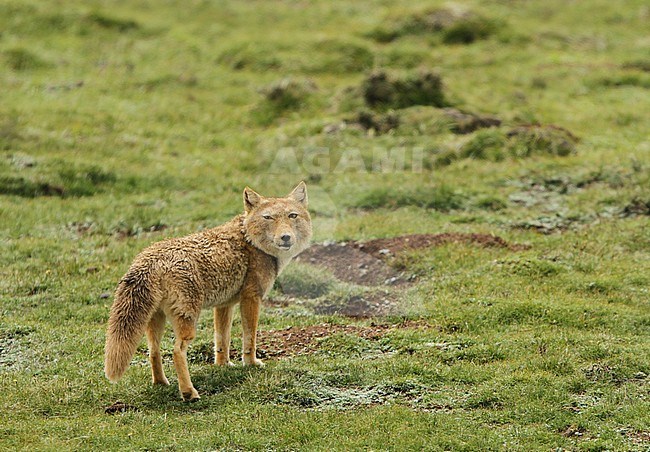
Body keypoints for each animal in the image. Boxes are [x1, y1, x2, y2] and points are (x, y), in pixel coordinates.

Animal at [104, 182, 312, 400]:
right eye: (268, 217)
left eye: (292, 216)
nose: (286, 237)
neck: (250, 239)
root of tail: (149, 258)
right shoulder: (251, 298)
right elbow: (250, 338)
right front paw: (251, 364)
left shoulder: (224, 305)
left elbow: (222, 340)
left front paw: (223, 365)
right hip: (188, 323)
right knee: (177, 351)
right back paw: (189, 393)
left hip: (156, 322)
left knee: (154, 351)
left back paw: (161, 383)